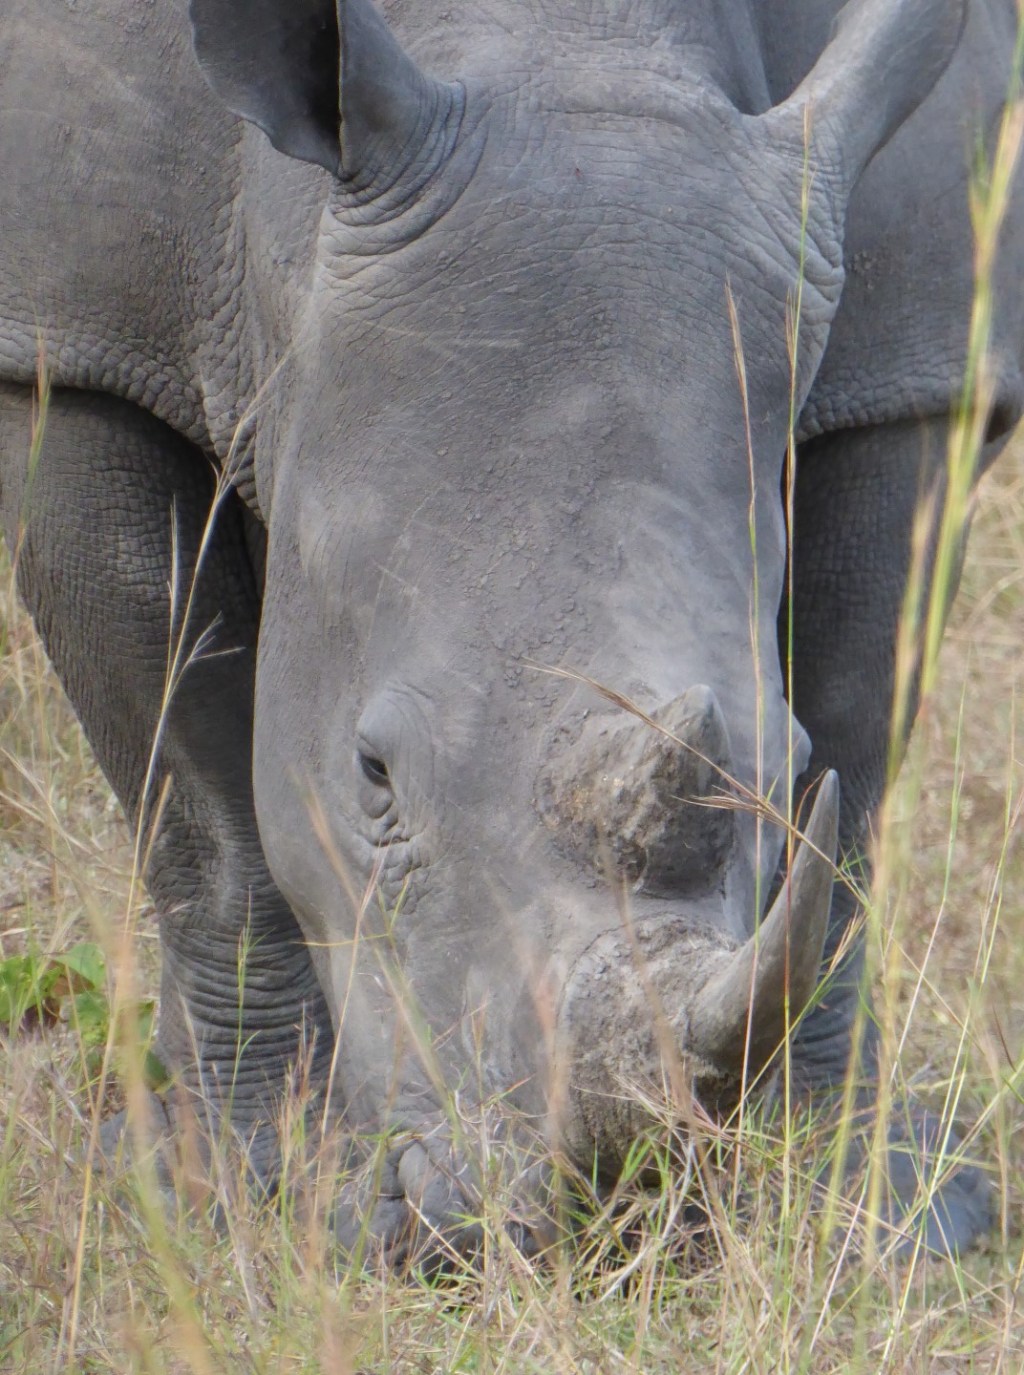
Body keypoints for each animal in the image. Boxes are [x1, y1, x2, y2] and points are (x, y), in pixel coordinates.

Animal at [1, 0, 1020, 1262]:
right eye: (372, 773)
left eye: (782, 773)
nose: (615, 1196)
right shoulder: (66, 337)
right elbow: (203, 820)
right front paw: (250, 1199)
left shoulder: (914, 357)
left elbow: (856, 781)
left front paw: (871, 1210)